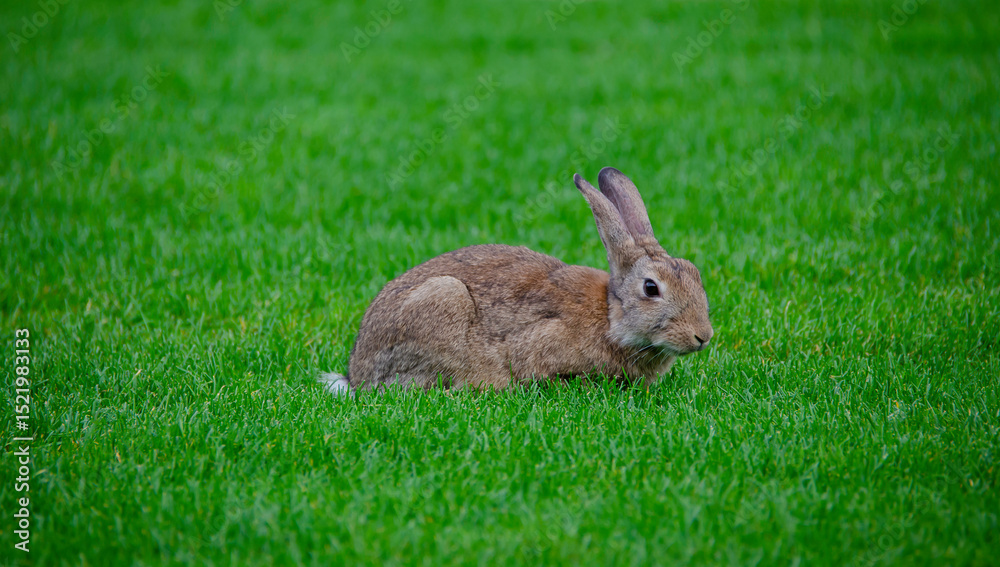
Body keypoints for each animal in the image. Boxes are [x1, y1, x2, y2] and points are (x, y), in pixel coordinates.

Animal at [319, 167, 713, 395]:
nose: (703, 336)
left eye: (693, 271)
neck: (609, 317)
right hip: (442, 300)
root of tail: (357, 374)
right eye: (651, 288)